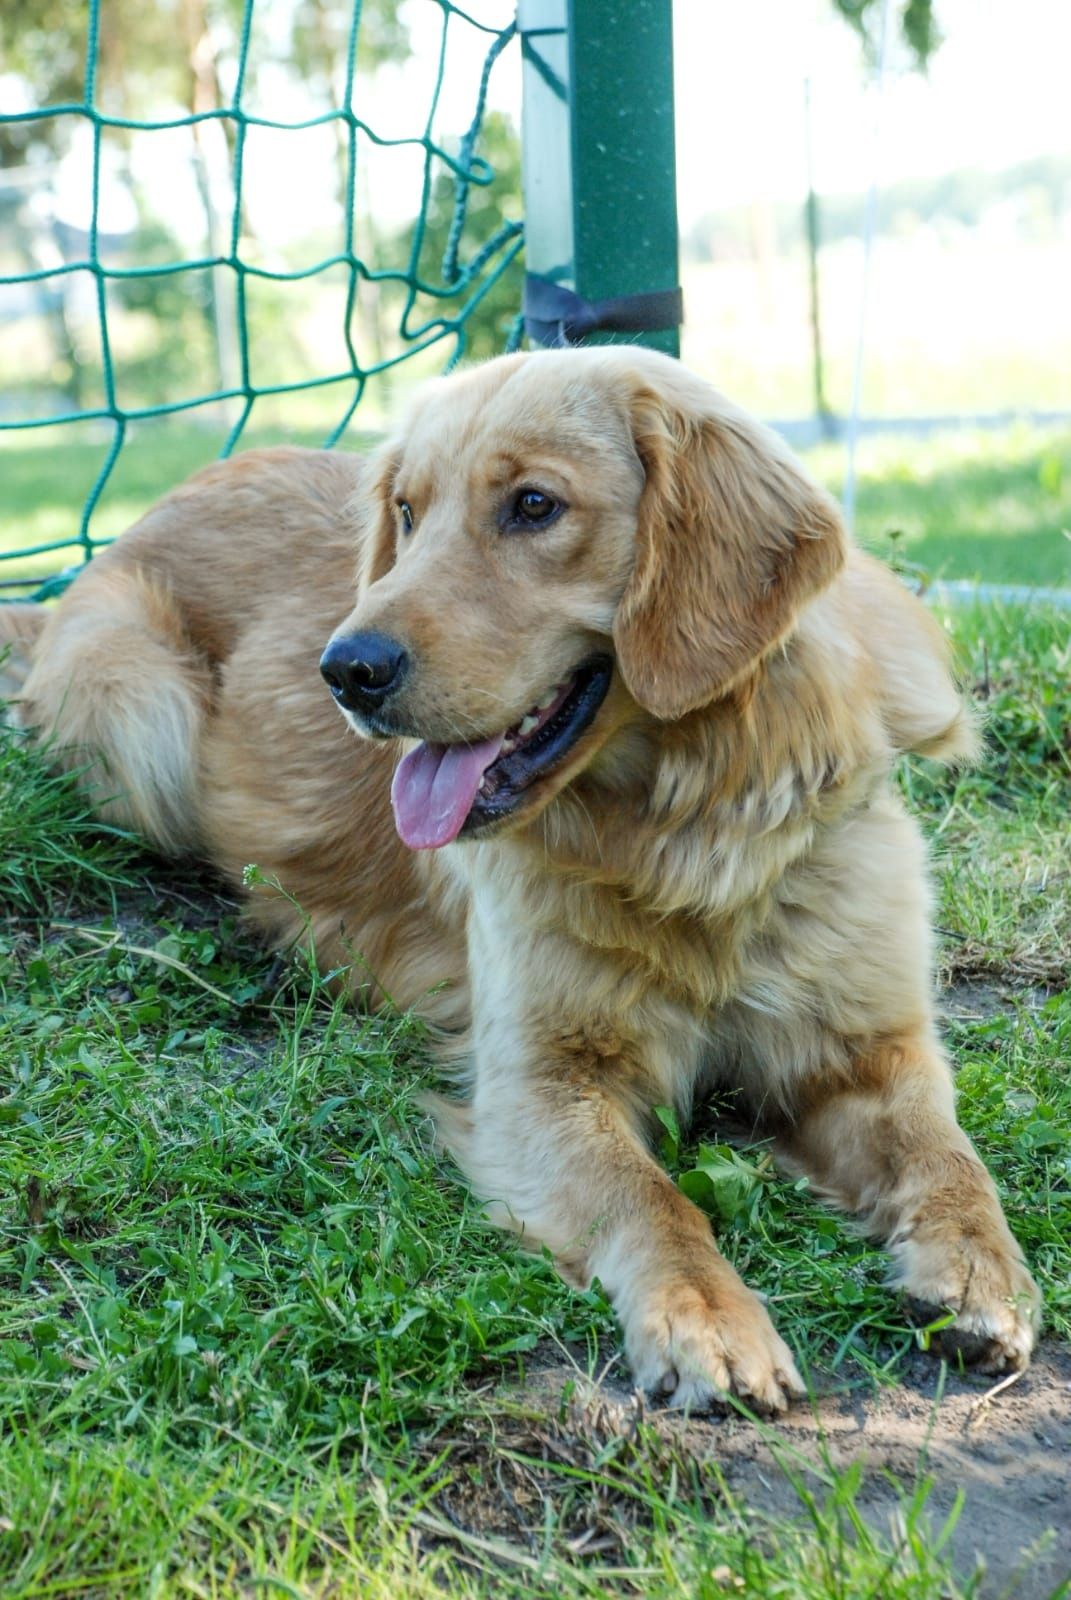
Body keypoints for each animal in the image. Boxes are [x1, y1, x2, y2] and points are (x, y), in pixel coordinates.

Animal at [0, 347, 1037, 1401]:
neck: (682, 836)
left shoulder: (868, 1045)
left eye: (534, 505)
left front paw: (979, 1273)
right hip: (142, 716)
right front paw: (705, 1317)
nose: (344, 670)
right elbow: (653, 1199)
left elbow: (949, 1157)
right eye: (406, 511)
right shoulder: (541, 1077)